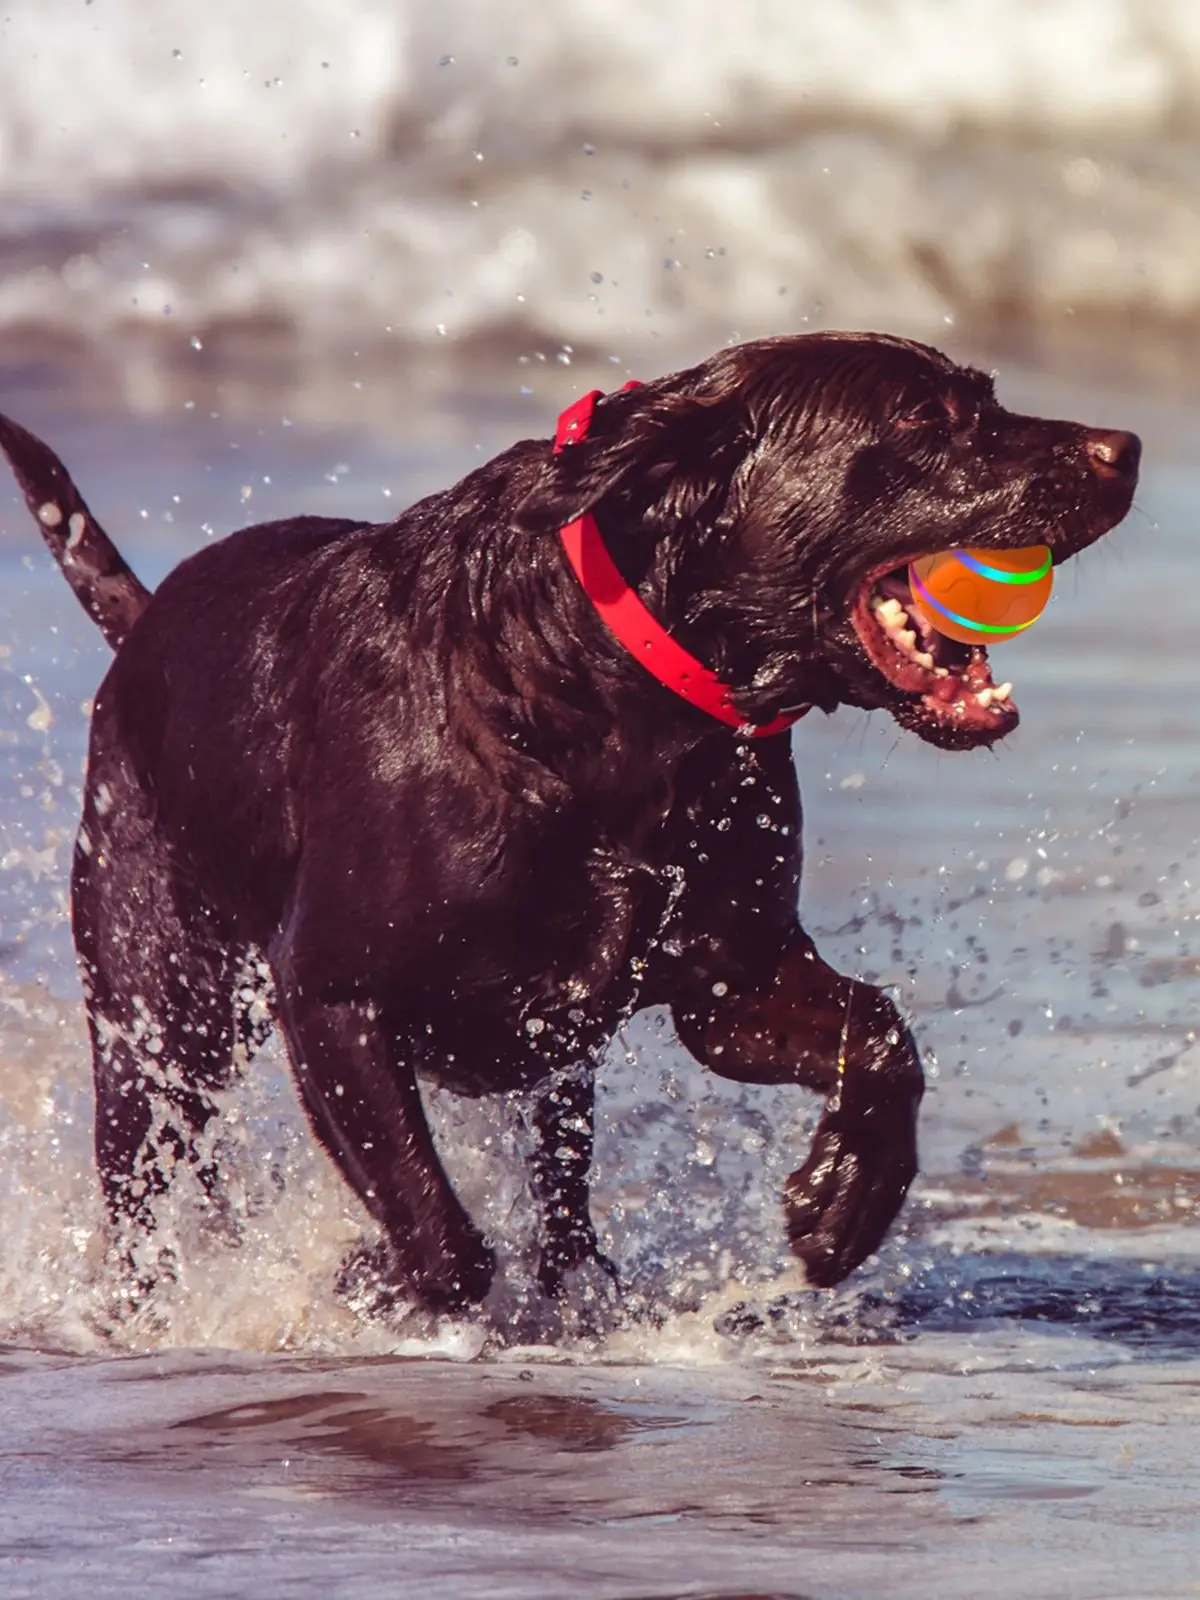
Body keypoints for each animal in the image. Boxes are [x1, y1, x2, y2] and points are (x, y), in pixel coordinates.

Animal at [0, 334, 1139, 1312]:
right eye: (921, 417)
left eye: (984, 397)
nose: (1125, 448)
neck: (611, 701)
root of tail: (147, 621)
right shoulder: (329, 994)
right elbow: (440, 1236)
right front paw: (371, 1277)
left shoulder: (731, 981)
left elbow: (881, 1033)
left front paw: (845, 1197)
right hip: (159, 1017)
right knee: (147, 1179)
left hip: (553, 1073)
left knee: (563, 1191)